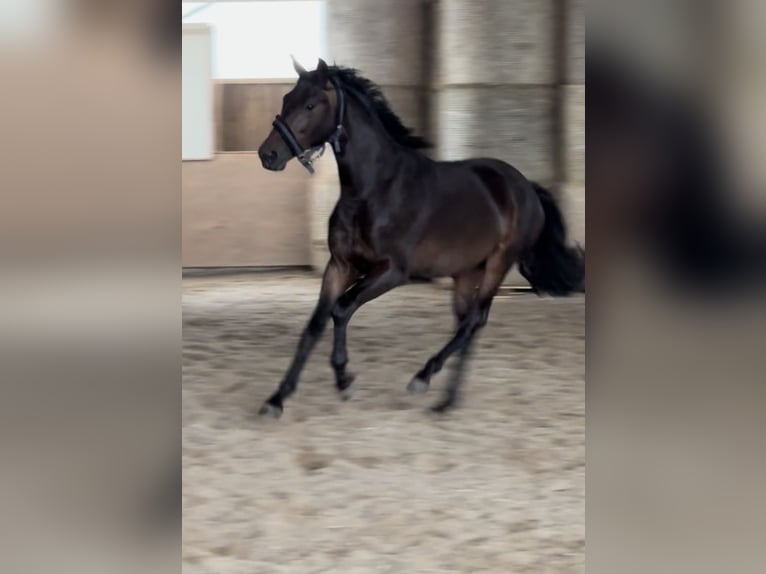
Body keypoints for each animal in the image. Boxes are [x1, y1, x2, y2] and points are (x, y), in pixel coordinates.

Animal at [255, 57, 584, 418]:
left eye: (311, 105)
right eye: (287, 99)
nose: (267, 155)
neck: (373, 190)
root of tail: (528, 188)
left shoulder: (393, 272)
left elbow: (340, 310)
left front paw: (344, 380)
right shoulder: (340, 265)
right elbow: (315, 324)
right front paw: (276, 399)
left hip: (498, 264)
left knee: (474, 320)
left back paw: (423, 379)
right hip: (467, 271)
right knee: (466, 323)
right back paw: (446, 400)